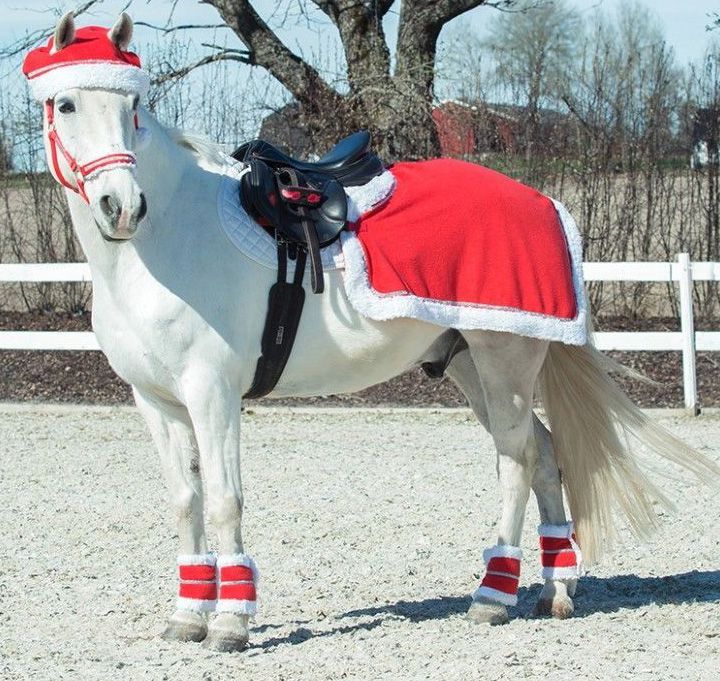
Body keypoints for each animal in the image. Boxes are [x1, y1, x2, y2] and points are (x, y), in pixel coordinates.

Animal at [24, 12, 718, 653]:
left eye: (133, 107)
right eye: (65, 103)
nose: (122, 207)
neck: (165, 241)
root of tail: (543, 202)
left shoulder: (211, 393)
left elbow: (223, 498)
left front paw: (229, 625)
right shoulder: (156, 400)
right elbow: (185, 500)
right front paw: (188, 617)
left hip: (506, 362)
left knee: (516, 461)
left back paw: (491, 597)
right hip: (470, 364)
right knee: (544, 454)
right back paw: (557, 590)